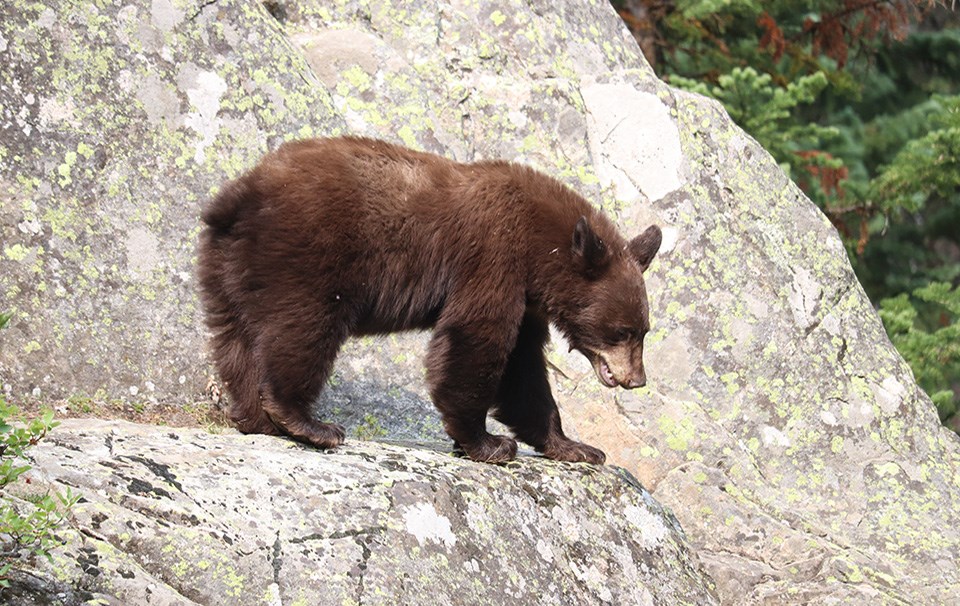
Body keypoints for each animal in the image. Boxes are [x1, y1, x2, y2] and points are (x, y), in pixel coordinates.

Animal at [195, 138, 660, 468]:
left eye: (644, 330)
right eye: (623, 331)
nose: (637, 379)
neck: (542, 250)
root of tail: (240, 194)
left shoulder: (527, 301)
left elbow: (523, 370)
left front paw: (575, 446)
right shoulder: (494, 257)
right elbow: (476, 339)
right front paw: (487, 442)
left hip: (226, 266)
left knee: (235, 338)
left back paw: (256, 419)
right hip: (309, 255)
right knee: (304, 328)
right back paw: (308, 422)